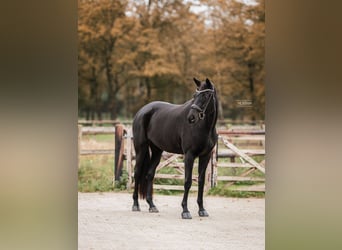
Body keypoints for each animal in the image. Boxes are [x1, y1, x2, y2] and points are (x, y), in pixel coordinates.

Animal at [132, 77, 218, 219]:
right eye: (194, 96)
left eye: (205, 96)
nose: (191, 117)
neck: (204, 128)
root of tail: (141, 111)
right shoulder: (189, 155)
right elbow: (188, 181)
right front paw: (185, 211)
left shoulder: (205, 156)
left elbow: (200, 181)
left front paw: (202, 209)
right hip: (141, 149)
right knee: (137, 173)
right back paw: (135, 205)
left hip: (157, 151)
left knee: (149, 175)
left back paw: (152, 206)